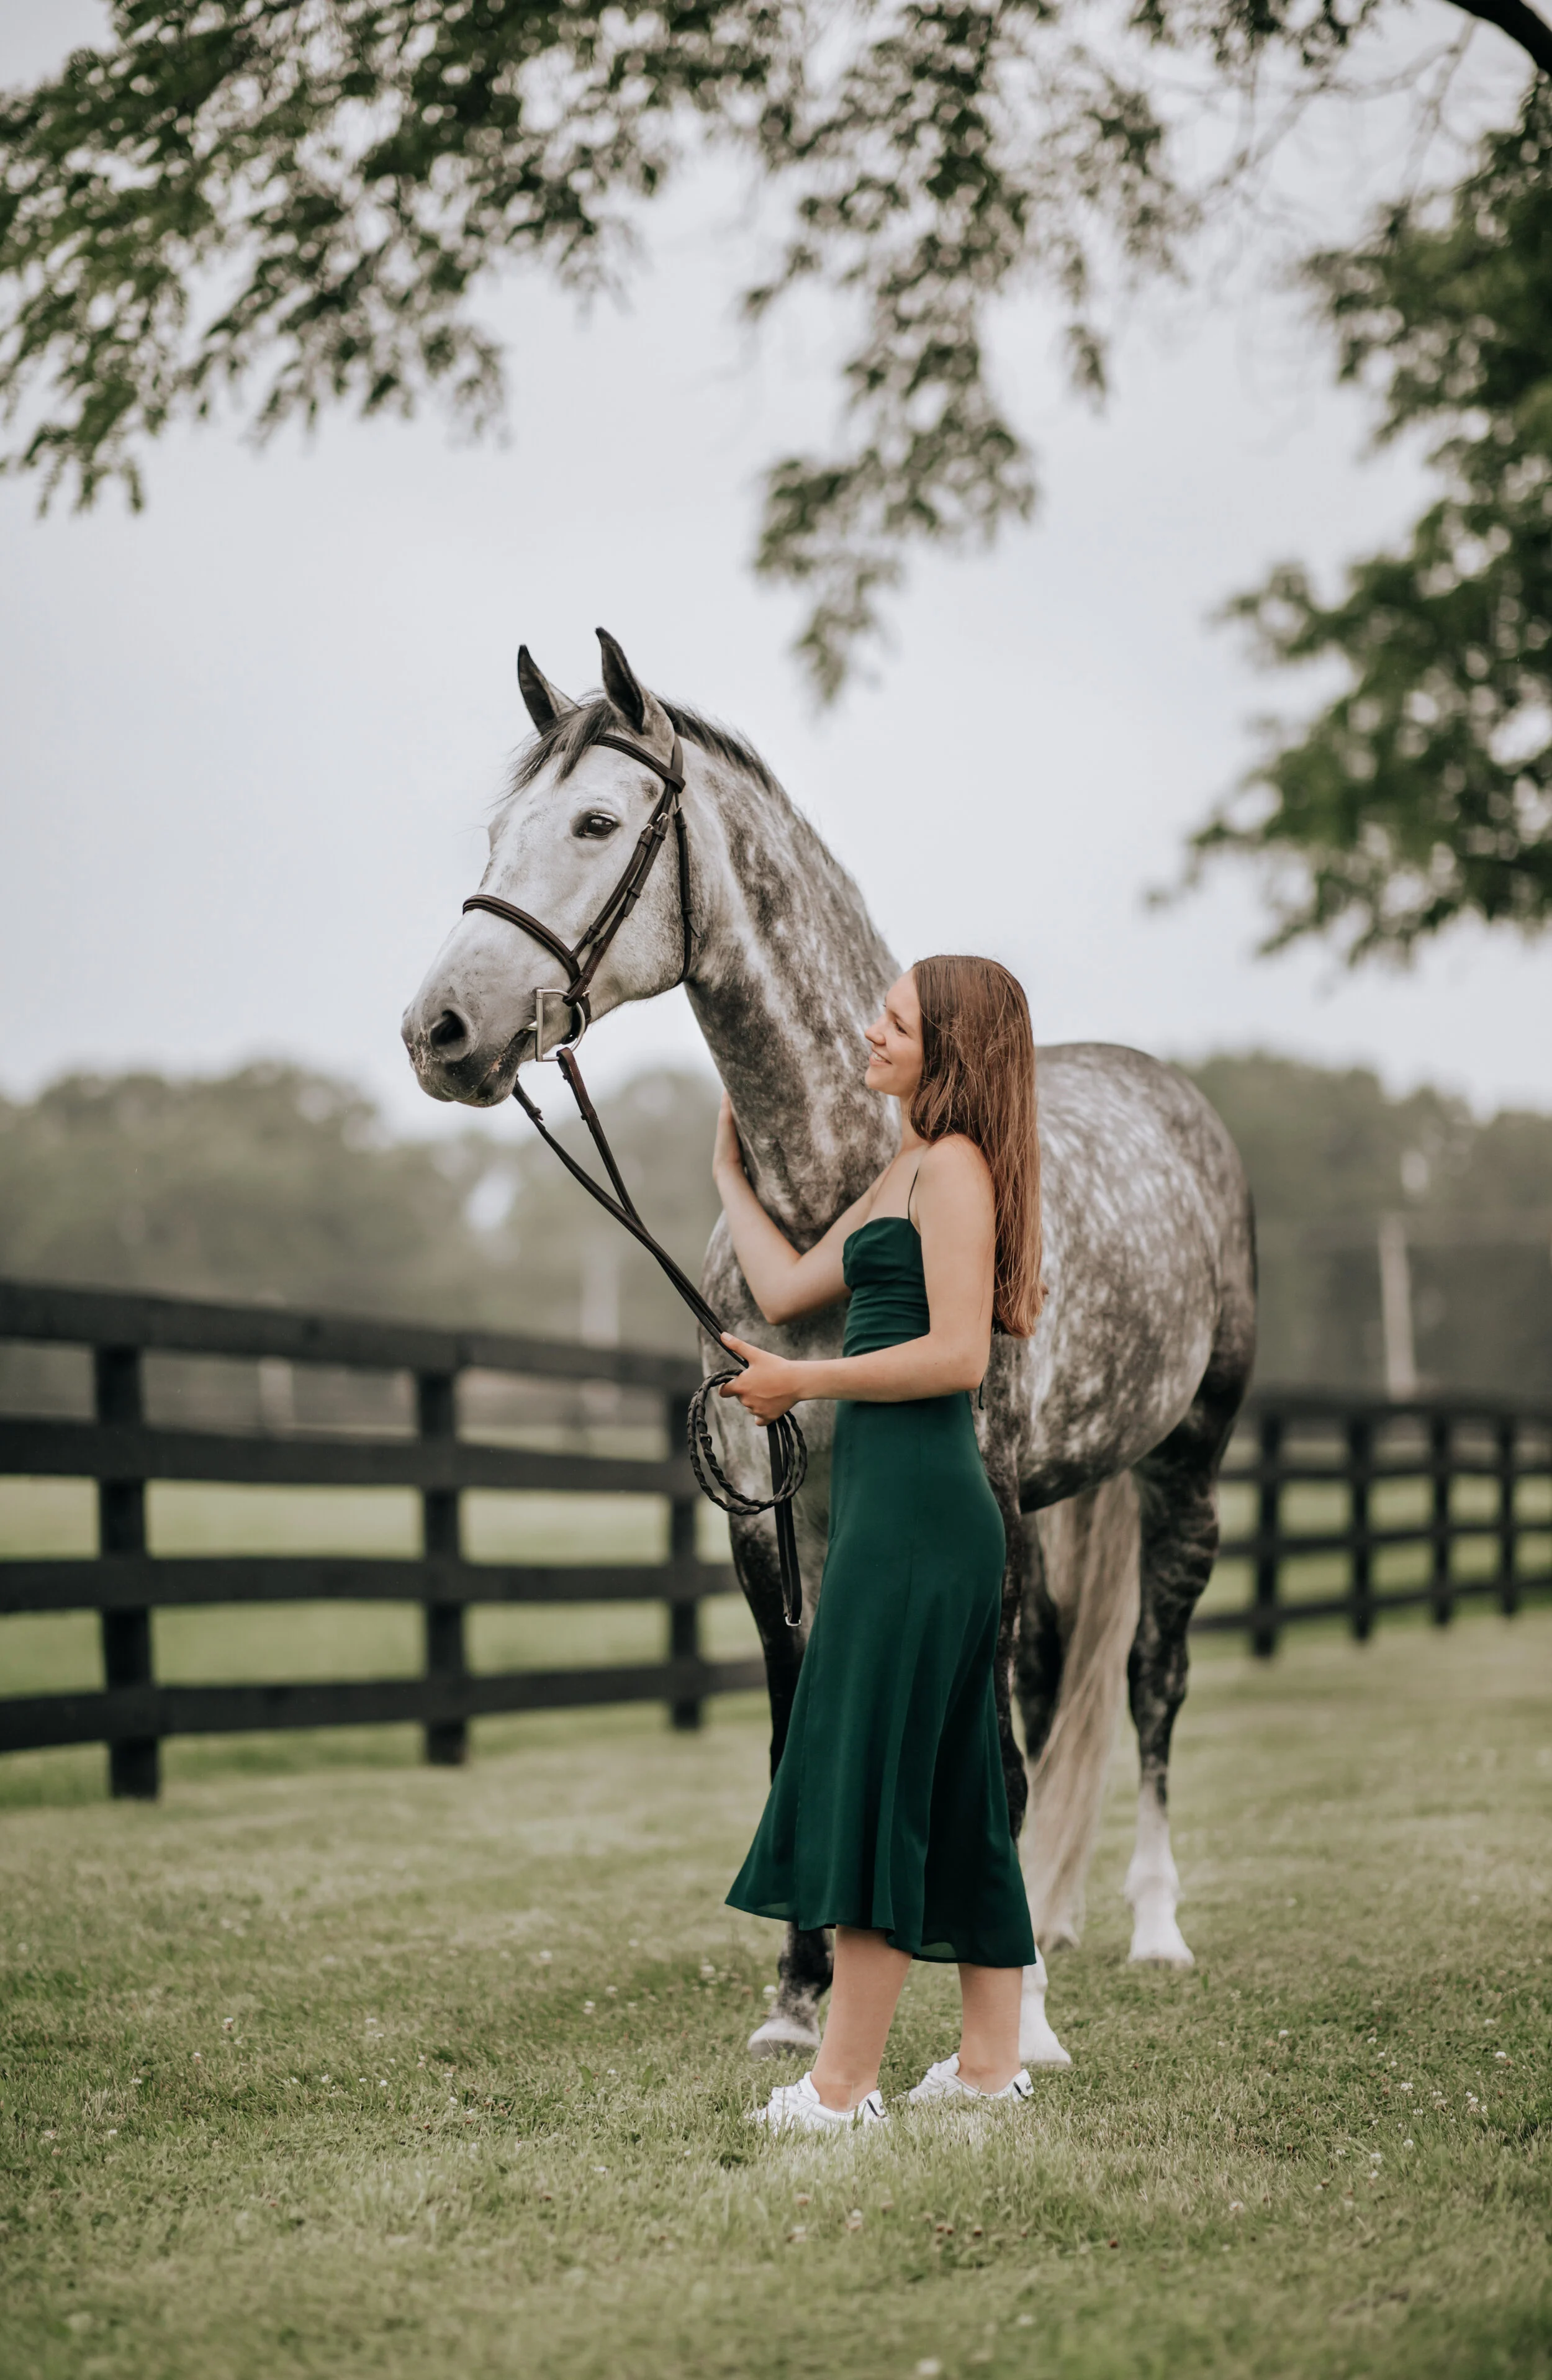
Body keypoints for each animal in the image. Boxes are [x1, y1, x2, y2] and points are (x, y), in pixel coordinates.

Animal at [401, 627, 1257, 2069]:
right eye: (496, 829)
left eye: (595, 821)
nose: (439, 1030)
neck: (841, 1192)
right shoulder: (768, 1506)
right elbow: (800, 1723)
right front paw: (801, 1993)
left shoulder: (978, 1489)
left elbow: (995, 1748)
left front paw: (1018, 2020)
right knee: (1053, 1680)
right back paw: (1050, 1912)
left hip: (1182, 1467)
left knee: (1151, 1679)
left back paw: (1152, 1925)